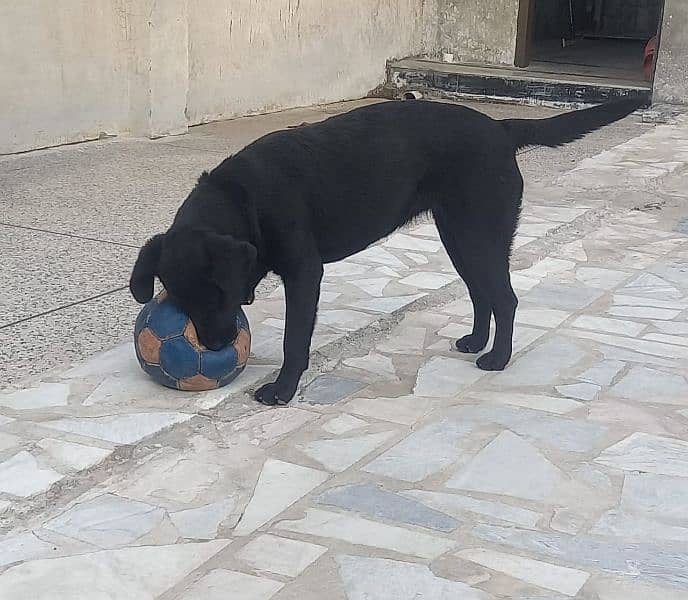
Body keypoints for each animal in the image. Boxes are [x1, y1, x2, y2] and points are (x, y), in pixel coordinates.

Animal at [130, 98, 644, 406]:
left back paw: (497, 358)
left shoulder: (304, 273)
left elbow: (295, 341)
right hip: (459, 237)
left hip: (479, 235)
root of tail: (500, 128)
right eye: (182, 301)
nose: (216, 345)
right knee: (482, 294)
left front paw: (283, 388)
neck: (243, 198)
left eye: (217, 295)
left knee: (505, 297)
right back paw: (477, 342)